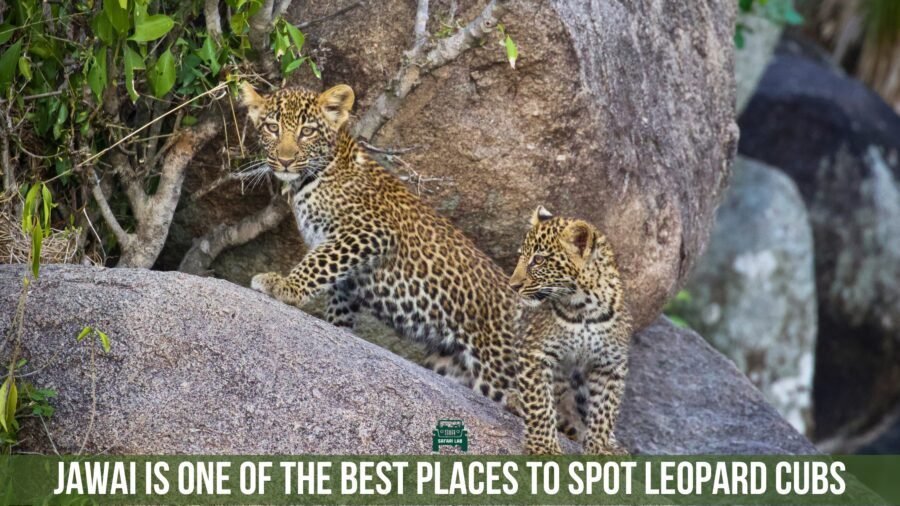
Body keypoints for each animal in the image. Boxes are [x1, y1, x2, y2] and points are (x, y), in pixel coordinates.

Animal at [240, 82, 522, 405]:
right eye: (272, 128)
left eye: (307, 131)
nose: (285, 160)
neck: (311, 179)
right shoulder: (346, 271)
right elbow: (337, 295)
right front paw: (337, 327)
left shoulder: (370, 231)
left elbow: (317, 264)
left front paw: (285, 286)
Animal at [509, 206, 633, 455]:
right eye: (521, 256)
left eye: (538, 260)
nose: (513, 286)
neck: (584, 308)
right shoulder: (533, 352)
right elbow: (539, 404)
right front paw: (544, 448)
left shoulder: (611, 363)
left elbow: (605, 409)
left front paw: (601, 448)